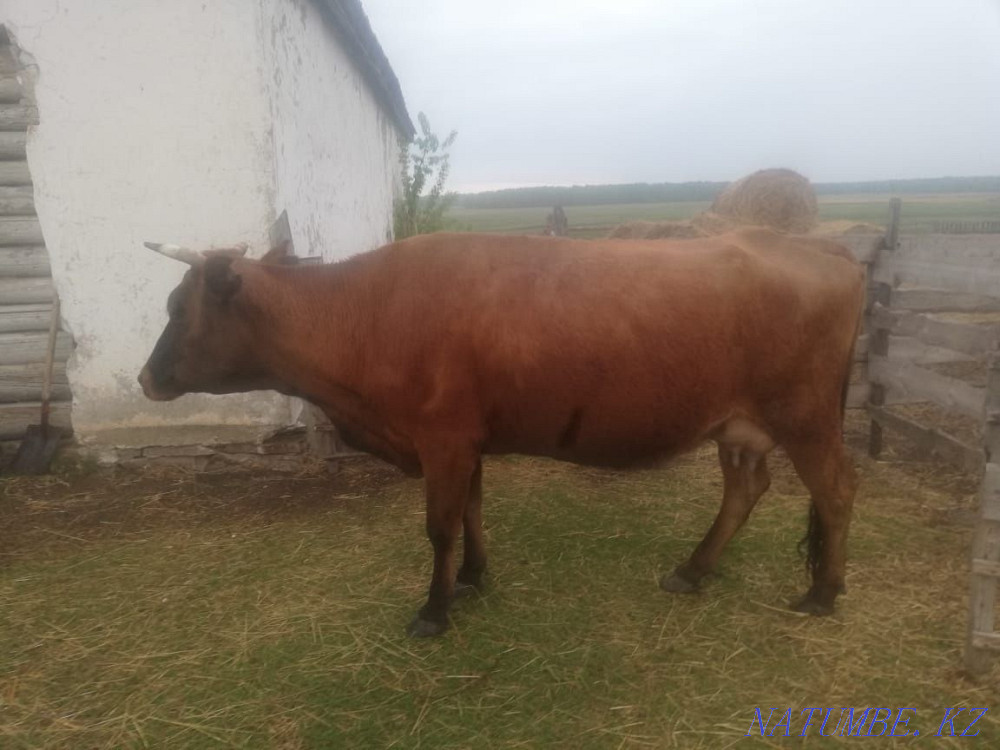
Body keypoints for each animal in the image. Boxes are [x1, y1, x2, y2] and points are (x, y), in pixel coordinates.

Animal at [138, 229, 865, 637]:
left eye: (179, 308)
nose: (145, 378)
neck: (367, 313)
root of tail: (819, 247)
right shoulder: (466, 439)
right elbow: (472, 511)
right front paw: (473, 578)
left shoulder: (442, 438)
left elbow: (440, 526)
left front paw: (434, 611)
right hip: (740, 424)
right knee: (746, 489)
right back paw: (694, 570)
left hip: (804, 413)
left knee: (834, 490)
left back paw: (823, 593)